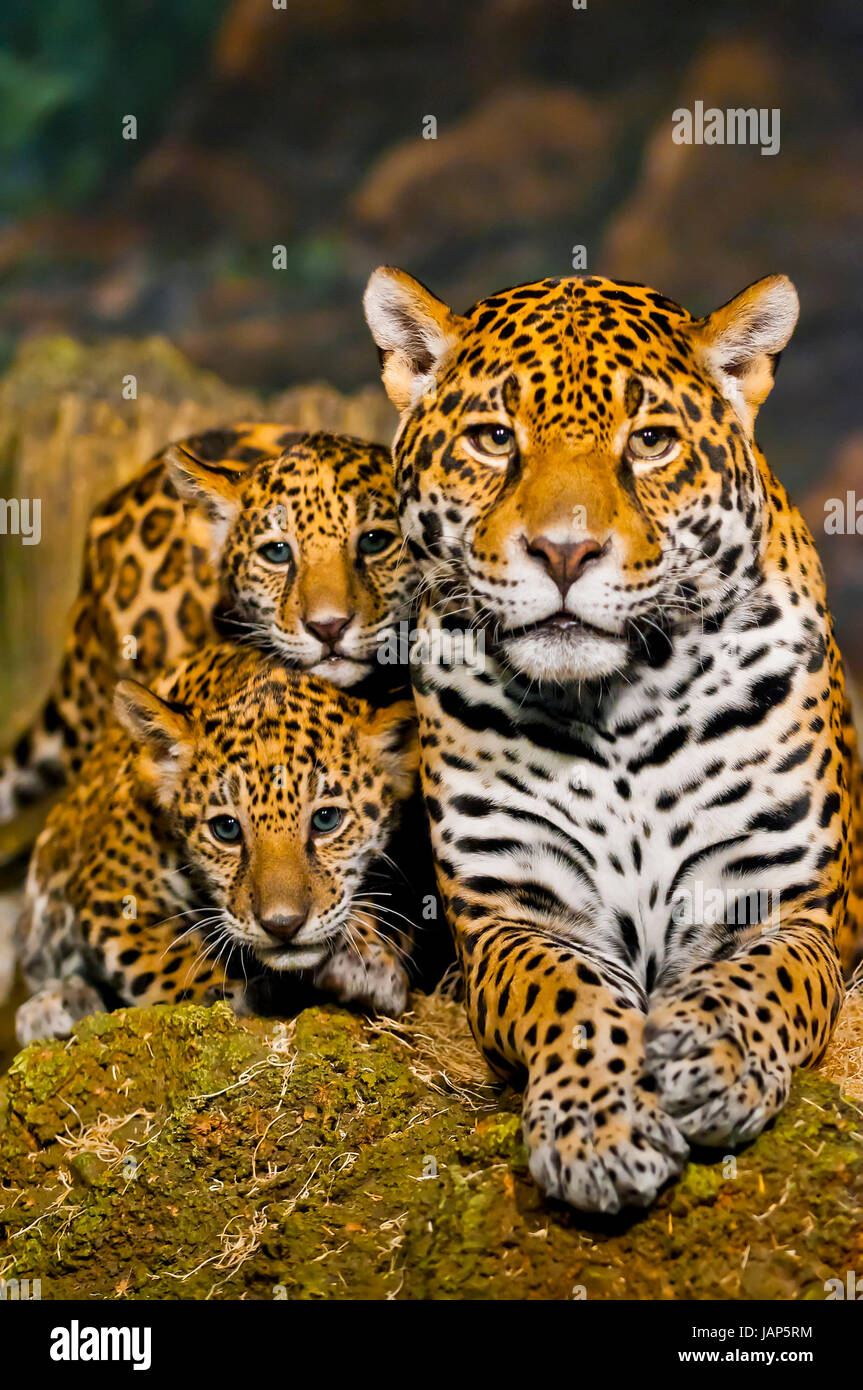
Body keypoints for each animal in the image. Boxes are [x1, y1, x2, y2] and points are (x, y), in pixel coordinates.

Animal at [15, 641, 419, 1046]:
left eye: (326, 820)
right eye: (226, 829)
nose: (283, 926)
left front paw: (369, 963)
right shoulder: (112, 895)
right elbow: (166, 965)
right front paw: (237, 994)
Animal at [363, 264, 863, 1214]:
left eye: (651, 442)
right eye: (493, 439)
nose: (565, 552)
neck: (617, 704)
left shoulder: (786, 903)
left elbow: (761, 979)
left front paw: (713, 1058)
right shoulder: (514, 913)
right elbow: (569, 995)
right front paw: (598, 1127)